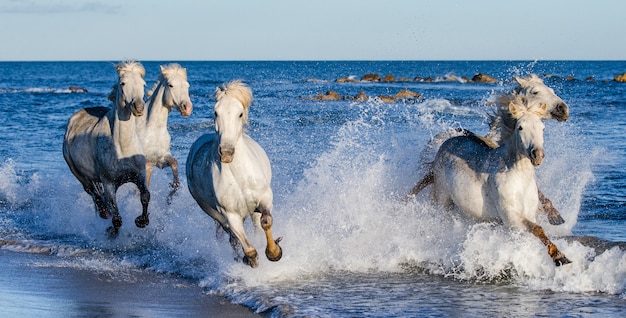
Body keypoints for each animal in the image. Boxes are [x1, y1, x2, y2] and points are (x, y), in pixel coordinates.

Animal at [61, 61, 150, 236]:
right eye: (123, 83)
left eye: (143, 84)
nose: (138, 107)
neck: (122, 147)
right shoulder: (109, 183)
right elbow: (116, 216)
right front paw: (111, 231)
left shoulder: (139, 175)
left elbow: (145, 196)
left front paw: (141, 221)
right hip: (79, 174)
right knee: (92, 192)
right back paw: (104, 213)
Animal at [137, 62, 191, 196]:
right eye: (170, 85)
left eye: (187, 85)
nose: (187, 108)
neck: (153, 130)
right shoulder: (144, 164)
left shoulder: (160, 160)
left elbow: (174, 162)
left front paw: (173, 187)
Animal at [185, 80, 282, 268]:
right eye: (216, 112)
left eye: (240, 114)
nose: (227, 152)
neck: (239, 176)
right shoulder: (230, 214)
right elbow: (247, 248)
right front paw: (249, 259)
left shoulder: (265, 198)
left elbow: (266, 222)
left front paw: (274, 252)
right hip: (214, 213)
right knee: (231, 236)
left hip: (253, 209)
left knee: (257, 226)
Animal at [432, 102, 568, 266]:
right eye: (520, 127)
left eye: (543, 128)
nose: (537, 155)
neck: (519, 179)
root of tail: (445, 144)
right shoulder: (512, 218)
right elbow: (537, 229)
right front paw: (559, 256)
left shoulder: (528, 215)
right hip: (442, 200)